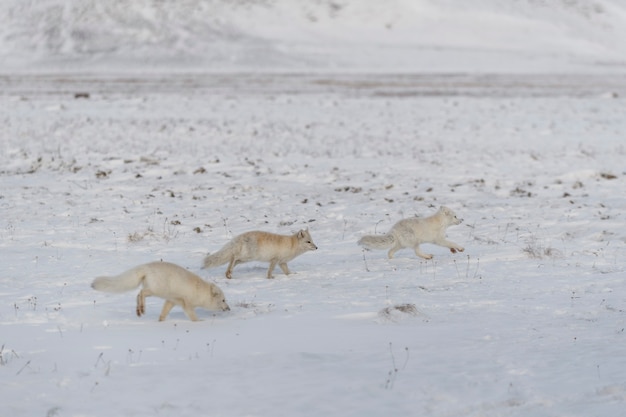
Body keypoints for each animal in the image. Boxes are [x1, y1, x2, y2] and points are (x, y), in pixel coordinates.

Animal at [90, 260, 229, 322]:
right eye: (223, 300)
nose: (229, 308)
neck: (201, 292)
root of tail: (145, 266)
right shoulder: (186, 303)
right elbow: (192, 315)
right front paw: (199, 322)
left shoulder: (171, 301)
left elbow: (164, 312)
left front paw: (160, 322)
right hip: (156, 290)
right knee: (141, 293)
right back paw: (142, 308)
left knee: (138, 294)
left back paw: (139, 310)